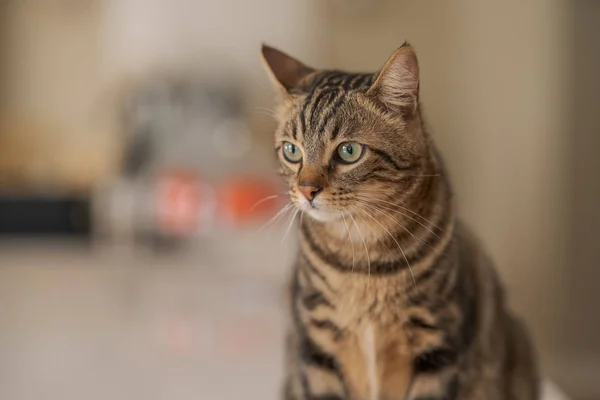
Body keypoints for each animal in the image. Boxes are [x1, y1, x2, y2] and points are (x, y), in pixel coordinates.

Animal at [260, 42, 540, 398]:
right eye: (291, 151)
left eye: (349, 151)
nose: (307, 190)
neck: (363, 259)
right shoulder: (316, 347)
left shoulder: (438, 345)